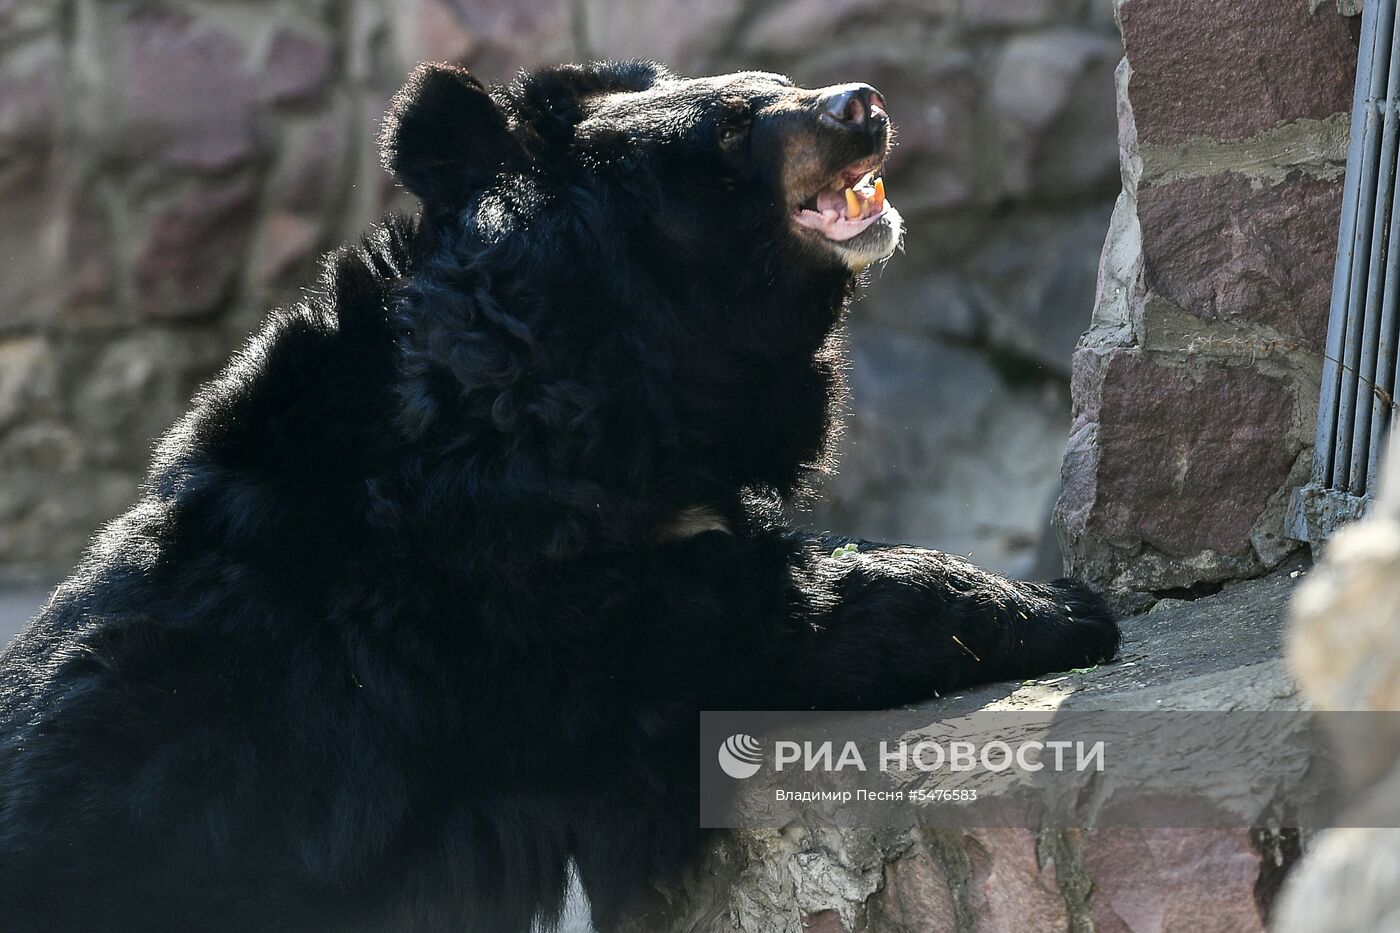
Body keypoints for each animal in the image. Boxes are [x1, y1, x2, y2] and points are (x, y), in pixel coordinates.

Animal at [0, 61, 1114, 924]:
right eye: (734, 124)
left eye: (777, 85)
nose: (862, 104)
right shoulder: (509, 609)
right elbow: (757, 620)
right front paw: (1061, 607)